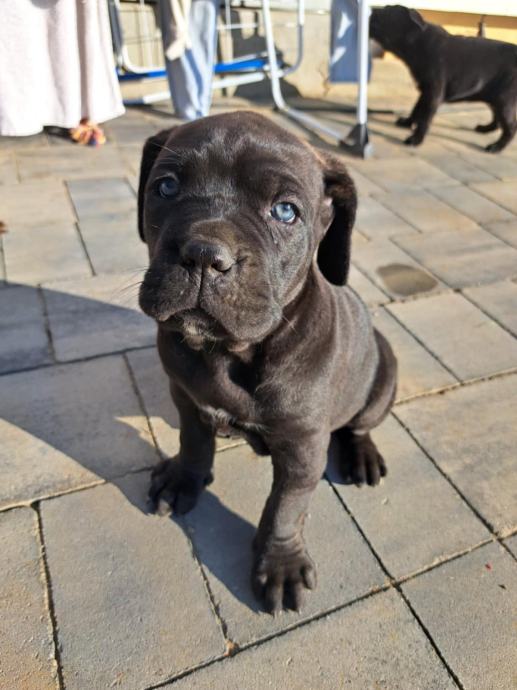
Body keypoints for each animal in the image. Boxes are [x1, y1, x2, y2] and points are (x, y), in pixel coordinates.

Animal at [136, 113, 396, 612]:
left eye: (286, 212)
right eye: (167, 187)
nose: (204, 255)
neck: (228, 352)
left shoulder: (302, 445)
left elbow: (285, 508)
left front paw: (280, 564)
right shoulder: (185, 396)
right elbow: (193, 443)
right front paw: (183, 479)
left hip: (384, 371)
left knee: (359, 424)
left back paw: (362, 456)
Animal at [368, 5, 516, 152]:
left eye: (385, 12)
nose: (372, 9)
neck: (417, 41)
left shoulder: (433, 93)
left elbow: (425, 118)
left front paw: (416, 139)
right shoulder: (425, 91)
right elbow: (416, 108)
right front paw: (407, 122)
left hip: (504, 101)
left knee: (510, 127)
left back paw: (496, 147)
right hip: (494, 97)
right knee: (497, 119)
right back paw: (486, 129)